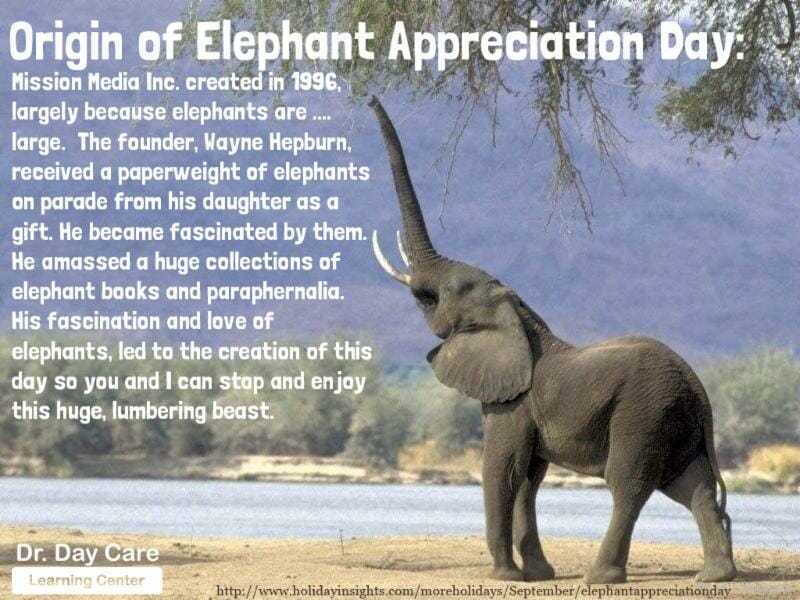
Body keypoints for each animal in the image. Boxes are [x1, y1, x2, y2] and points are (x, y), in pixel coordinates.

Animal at [367, 96, 737, 585]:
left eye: (440, 294)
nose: (370, 99)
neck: (518, 314)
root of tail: (699, 390)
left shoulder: (512, 401)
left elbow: (502, 469)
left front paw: (505, 577)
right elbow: (528, 477)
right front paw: (538, 574)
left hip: (645, 412)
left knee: (629, 483)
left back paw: (601, 577)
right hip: (676, 420)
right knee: (691, 485)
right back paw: (716, 576)